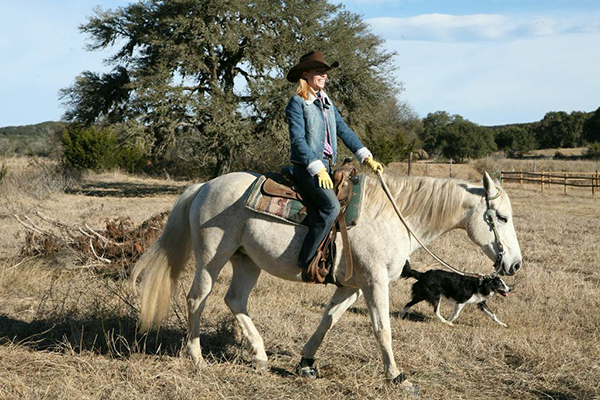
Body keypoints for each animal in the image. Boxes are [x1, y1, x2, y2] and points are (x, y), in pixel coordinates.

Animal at [131, 170, 520, 382]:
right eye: (500, 217)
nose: (514, 265)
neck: (393, 216)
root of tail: (203, 186)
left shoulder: (352, 286)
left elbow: (327, 320)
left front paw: (306, 363)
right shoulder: (374, 282)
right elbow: (382, 328)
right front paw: (396, 376)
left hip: (246, 261)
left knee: (235, 299)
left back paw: (259, 355)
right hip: (213, 258)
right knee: (197, 298)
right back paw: (196, 356)